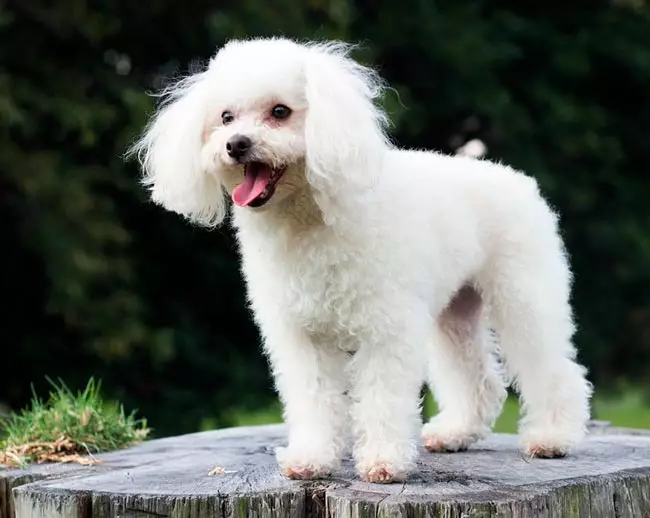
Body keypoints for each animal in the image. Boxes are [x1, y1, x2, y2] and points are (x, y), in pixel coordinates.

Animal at [129, 38, 588, 486]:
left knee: (553, 369)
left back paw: (552, 438)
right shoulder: (303, 335)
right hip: (455, 312)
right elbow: (314, 398)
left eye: (280, 112)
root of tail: (517, 180)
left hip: (523, 295)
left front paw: (384, 462)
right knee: (480, 380)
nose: (236, 144)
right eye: (225, 117)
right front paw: (312, 459)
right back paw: (454, 433)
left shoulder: (387, 330)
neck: (311, 218)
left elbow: (382, 398)